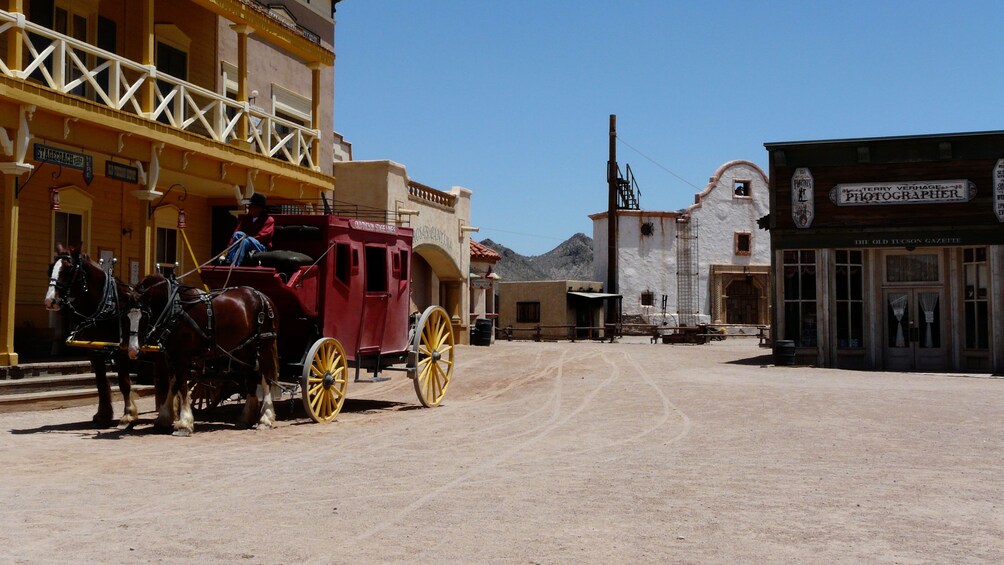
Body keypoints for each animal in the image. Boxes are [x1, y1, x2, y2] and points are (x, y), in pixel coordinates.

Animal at [42, 247, 162, 429]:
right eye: (50, 268)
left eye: (68, 269)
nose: (50, 300)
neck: (108, 306)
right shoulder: (94, 351)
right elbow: (100, 383)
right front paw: (103, 415)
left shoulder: (122, 350)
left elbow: (124, 383)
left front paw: (129, 414)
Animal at [129, 274, 281, 437]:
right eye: (126, 316)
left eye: (145, 316)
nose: (133, 350)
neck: (174, 308)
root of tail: (263, 296)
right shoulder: (171, 356)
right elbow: (173, 384)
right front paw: (164, 418)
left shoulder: (181, 356)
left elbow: (182, 386)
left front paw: (184, 424)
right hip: (245, 349)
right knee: (251, 378)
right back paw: (246, 418)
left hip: (264, 344)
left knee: (265, 378)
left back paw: (265, 419)